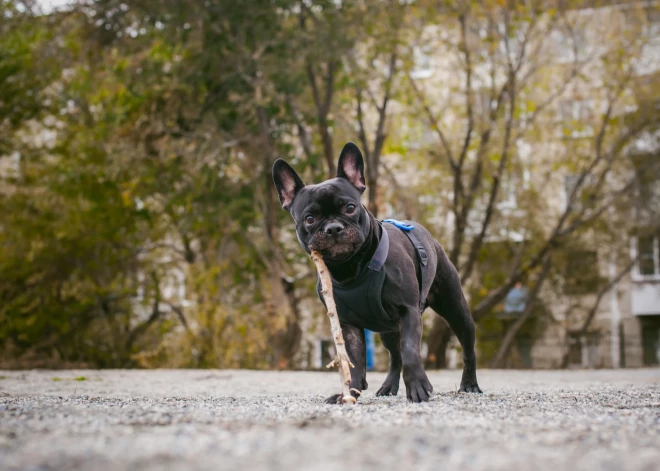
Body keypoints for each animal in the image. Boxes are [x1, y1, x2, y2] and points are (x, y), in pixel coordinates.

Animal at [270, 142, 482, 404]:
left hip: (455, 309)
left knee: (466, 348)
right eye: (309, 219)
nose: (333, 228)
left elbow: (411, 351)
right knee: (394, 356)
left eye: (350, 207)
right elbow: (355, 360)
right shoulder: (347, 324)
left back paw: (470, 384)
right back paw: (388, 387)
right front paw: (350, 392)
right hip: (387, 329)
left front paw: (417, 387)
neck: (350, 268)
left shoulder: (409, 311)